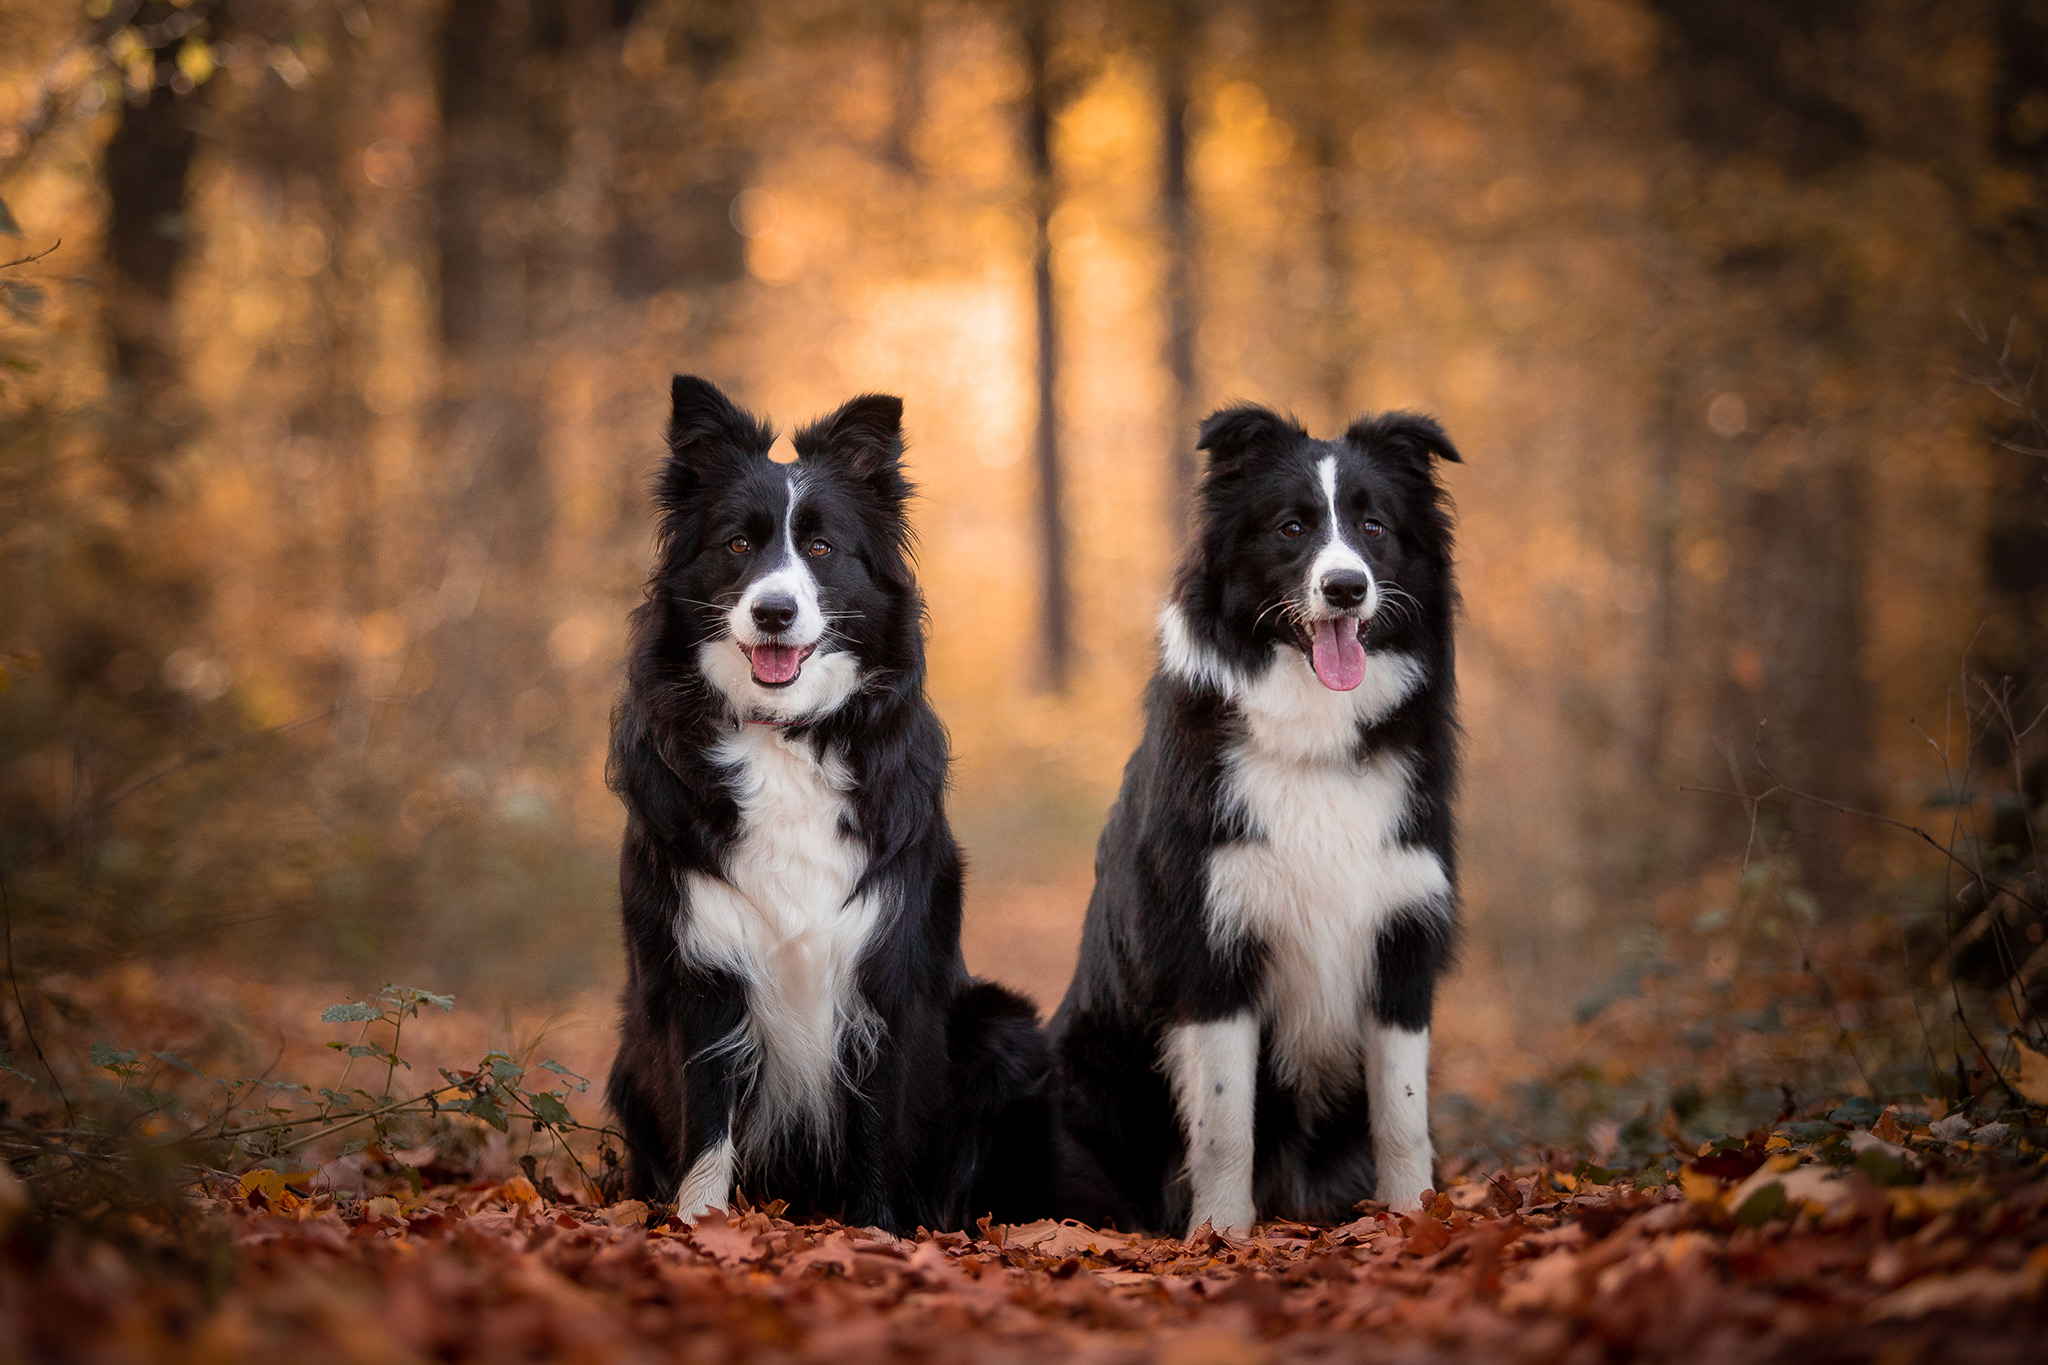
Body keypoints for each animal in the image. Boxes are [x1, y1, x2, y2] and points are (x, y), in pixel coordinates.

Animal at [598, 376, 1048, 1236]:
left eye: (820, 549)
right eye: (738, 545)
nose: (774, 612)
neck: (786, 737)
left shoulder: (886, 970)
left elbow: (879, 1123)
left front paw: (877, 1232)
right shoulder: (698, 966)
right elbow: (706, 1119)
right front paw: (698, 1225)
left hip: (999, 1025)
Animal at [1048, 401, 1466, 1236]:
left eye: (1374, 526)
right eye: (1291, 526)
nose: (1346, 588)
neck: (1316, 736)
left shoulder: (1402, 941)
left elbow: (1404, 1112)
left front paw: (1415, 1217)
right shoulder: (1208, 948)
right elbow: (1223, 1122)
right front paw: (1219, 1235)